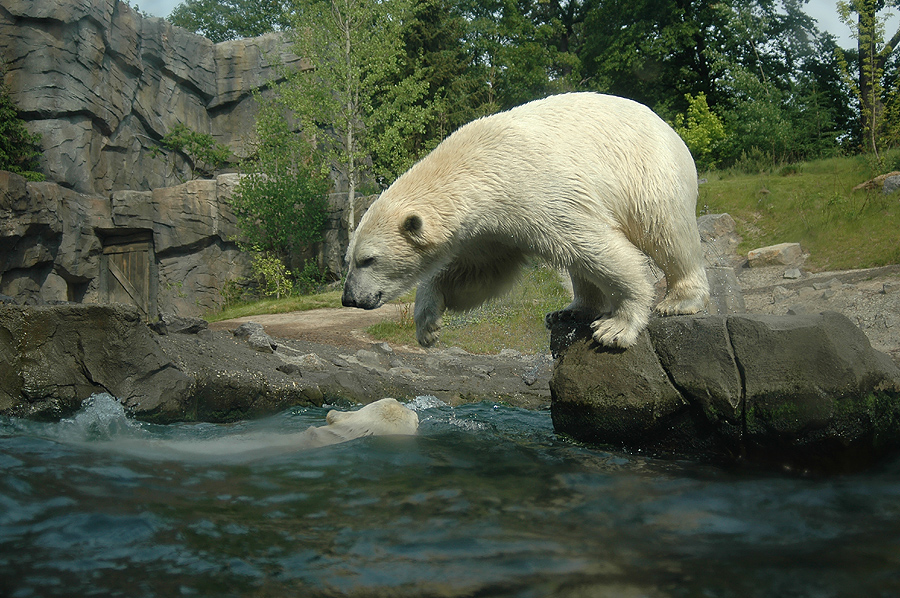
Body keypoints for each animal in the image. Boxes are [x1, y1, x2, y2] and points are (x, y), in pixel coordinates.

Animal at [342, 91, 708, 350]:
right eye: (350, 258)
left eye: (368, 259)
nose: (350, 299)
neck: (476, 167)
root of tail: (669, 128)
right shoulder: (488, 229)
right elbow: (478, 272)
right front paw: (428, 324)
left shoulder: (538, 190)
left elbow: (596, 246)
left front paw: (617, 327)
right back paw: (571, 309)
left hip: (650, 173)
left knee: (667, 233)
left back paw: (680, 300)